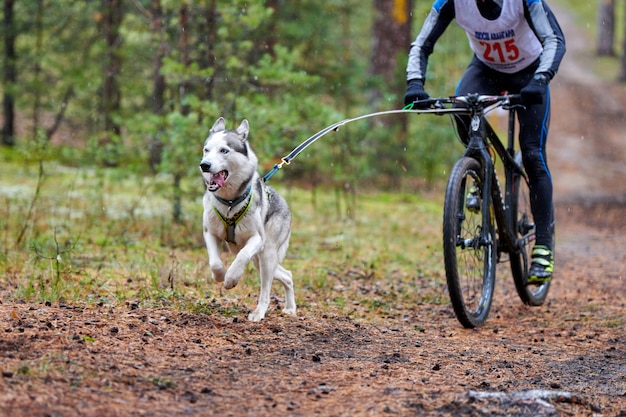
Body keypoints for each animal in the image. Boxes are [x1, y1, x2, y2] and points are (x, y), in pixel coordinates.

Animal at [201, 117, 296, 322]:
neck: (230, 203)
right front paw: (220, 276)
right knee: (287, 275)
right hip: (260, 261)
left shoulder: (257, 239)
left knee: (266, 290)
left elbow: (241, 256)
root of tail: (284, 202)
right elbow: (215, 262)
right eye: (206, 150)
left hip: (266, 254)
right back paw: (291, 308)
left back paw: (259, 312)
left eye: (224, 150)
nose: (204, 165)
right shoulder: (210, 233)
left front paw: (231, 278)